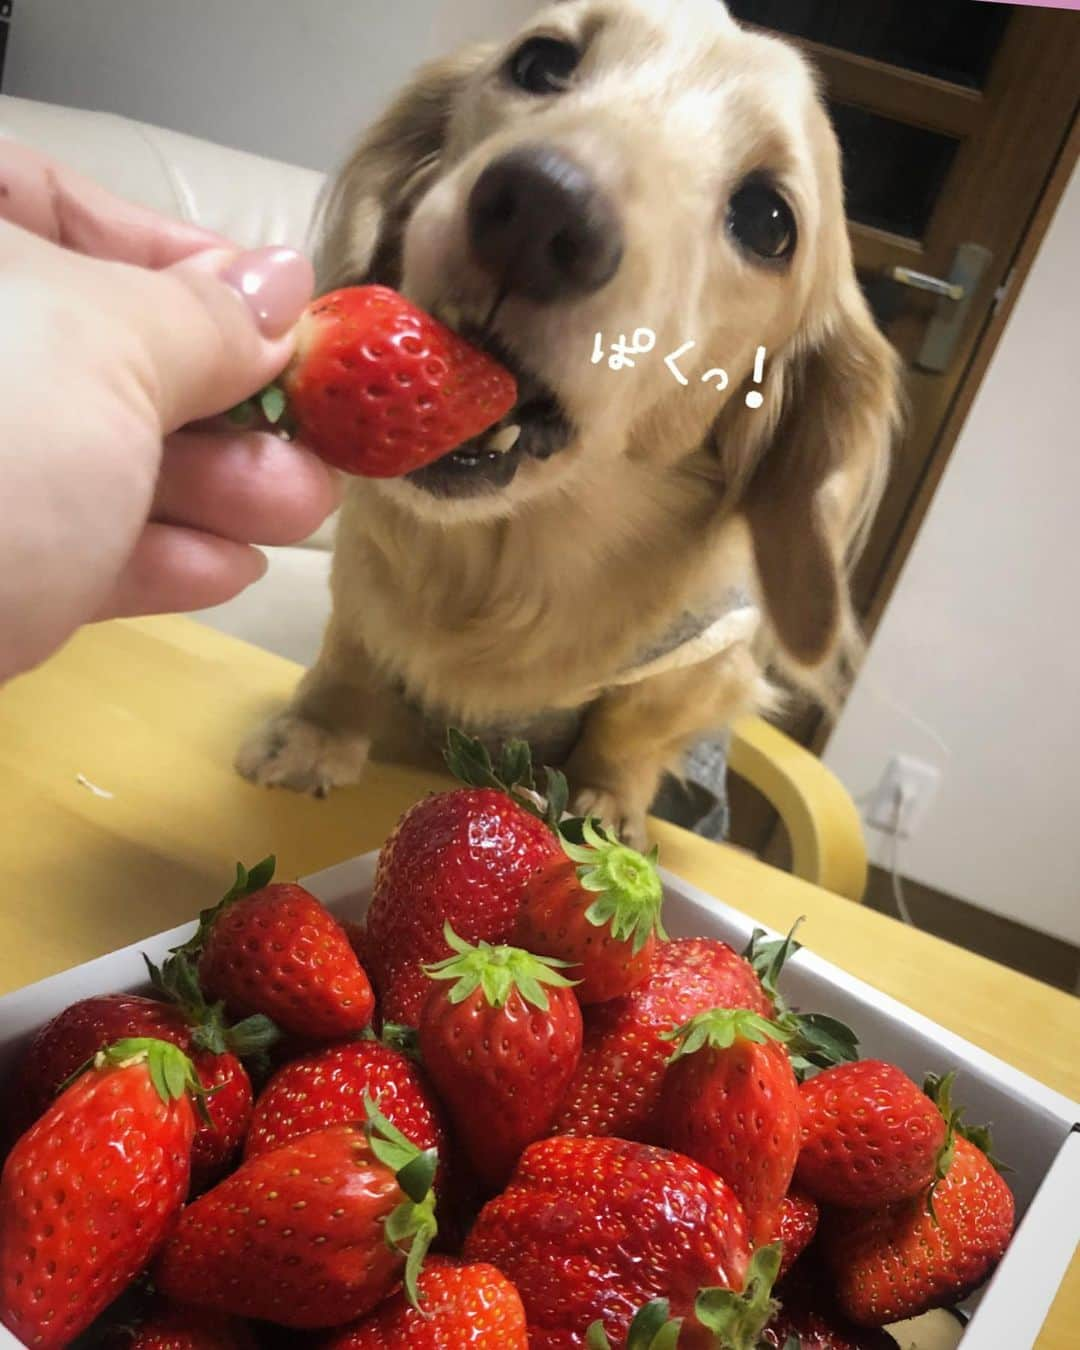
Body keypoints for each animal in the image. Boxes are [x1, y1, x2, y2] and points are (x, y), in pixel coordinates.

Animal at [236, 0, 901, 842]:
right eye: (541, 62)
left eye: (768, 221)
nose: (540, 207)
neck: (510, 556)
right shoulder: (361, 566)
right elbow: (355, 647)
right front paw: (315, 731)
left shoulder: (706, 661)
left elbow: (633, 727)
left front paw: (605, 804)